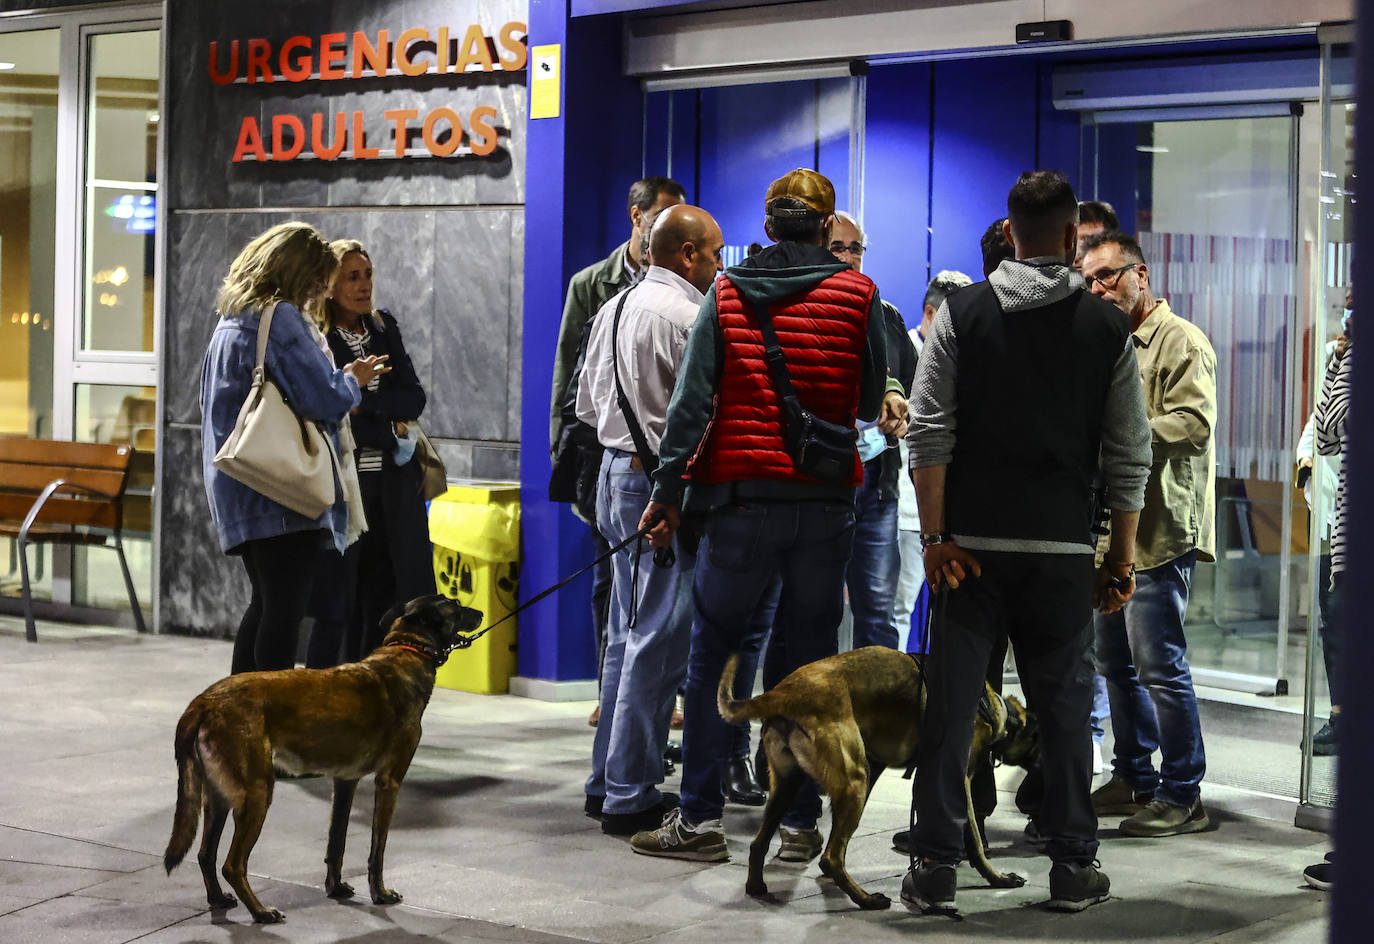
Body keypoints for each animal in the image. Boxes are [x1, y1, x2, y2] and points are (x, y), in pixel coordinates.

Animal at [163, 593, 483, 928]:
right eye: (455, 606)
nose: (482, 613)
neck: (406, 649)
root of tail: (205, 701)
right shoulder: (389, 782)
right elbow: (377, 849)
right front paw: (380, 893)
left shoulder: (344, 783)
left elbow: (336, 842)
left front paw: (335, 887)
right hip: (256, 793)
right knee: (232, 864)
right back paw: (260, 912)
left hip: (219, 798)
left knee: (205, 854)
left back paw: (218, 899)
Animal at [714, 645, 1033, 912]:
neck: (992, 706)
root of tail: (783, 692)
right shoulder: (959, 780)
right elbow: (974, 838)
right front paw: (997, 878)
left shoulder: (880, 766)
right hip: (854, 781)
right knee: (831, 856)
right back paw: (866, 900)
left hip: (791, 787)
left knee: (761, 844)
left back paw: (757, 887)